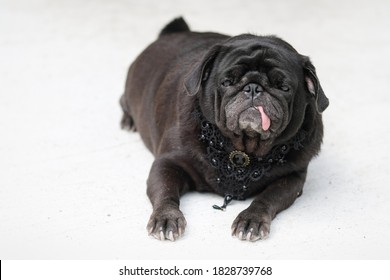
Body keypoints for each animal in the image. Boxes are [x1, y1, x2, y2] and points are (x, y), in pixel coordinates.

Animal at [120, 18, 328, 241]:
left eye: (284, 88)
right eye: (227, 82)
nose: (253, 88)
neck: (242, 152)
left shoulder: (292, 178)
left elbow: (268, 197)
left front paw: (252, 219)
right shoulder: (167, 163)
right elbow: (165, 192)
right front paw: (166, 217)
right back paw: (128, 121)